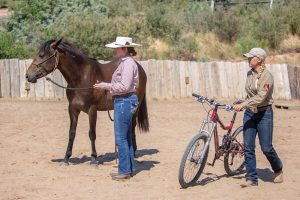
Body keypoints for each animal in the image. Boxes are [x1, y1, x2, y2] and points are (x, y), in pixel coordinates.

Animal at [25, 38, 149, 166]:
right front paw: (66, 158)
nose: (28, 75)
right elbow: (71, 133)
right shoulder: (73, 109)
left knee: (132, 127)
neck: (81, 78)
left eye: (41, 55)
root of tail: (139, 68)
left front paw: (94, 158)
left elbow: (92, 134)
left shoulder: (92, 110)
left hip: (135, 108)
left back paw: (133, 153)